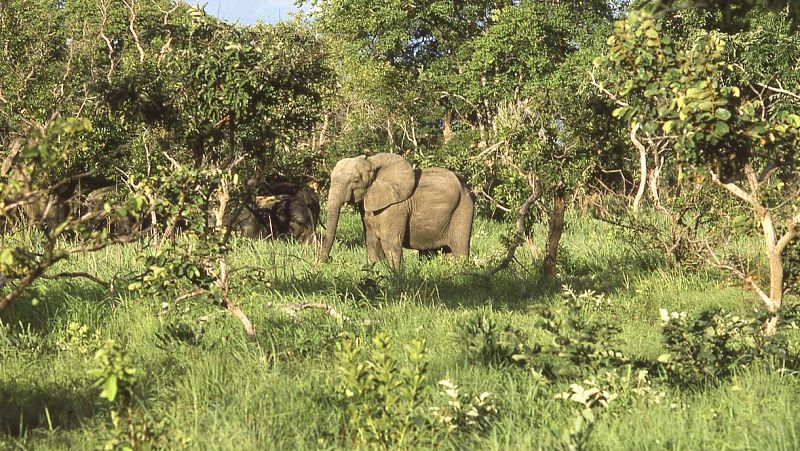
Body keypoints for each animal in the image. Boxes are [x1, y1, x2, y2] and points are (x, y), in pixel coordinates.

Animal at [320, 154, 476, 268]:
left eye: (356, 181)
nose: (328, 259)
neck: (372, 162)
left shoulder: (395, 207)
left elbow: (390, 241)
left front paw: (397, 274)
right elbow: (371, 240)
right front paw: (378, 269)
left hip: (463, 208)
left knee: (460, 249)